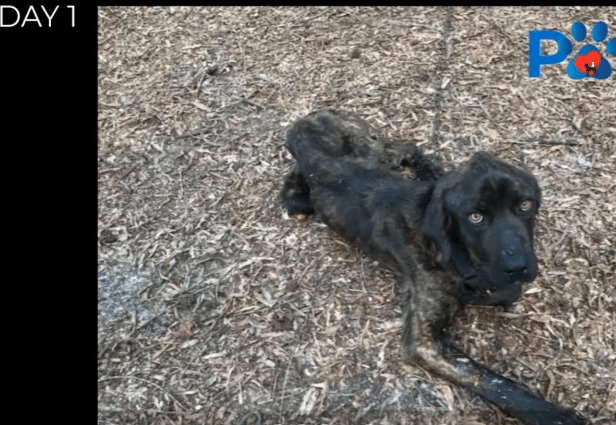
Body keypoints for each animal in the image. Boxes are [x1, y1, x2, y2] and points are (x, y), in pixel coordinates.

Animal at [280, 110, 583, 425]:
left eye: (525, 204)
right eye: (475, 217)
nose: (518, 266)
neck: (457, 254)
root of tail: (306, 119)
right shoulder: (425, 344)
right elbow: (489, 379)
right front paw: (552, 414)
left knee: (407, 148)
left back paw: (433, 174)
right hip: (354, 165)